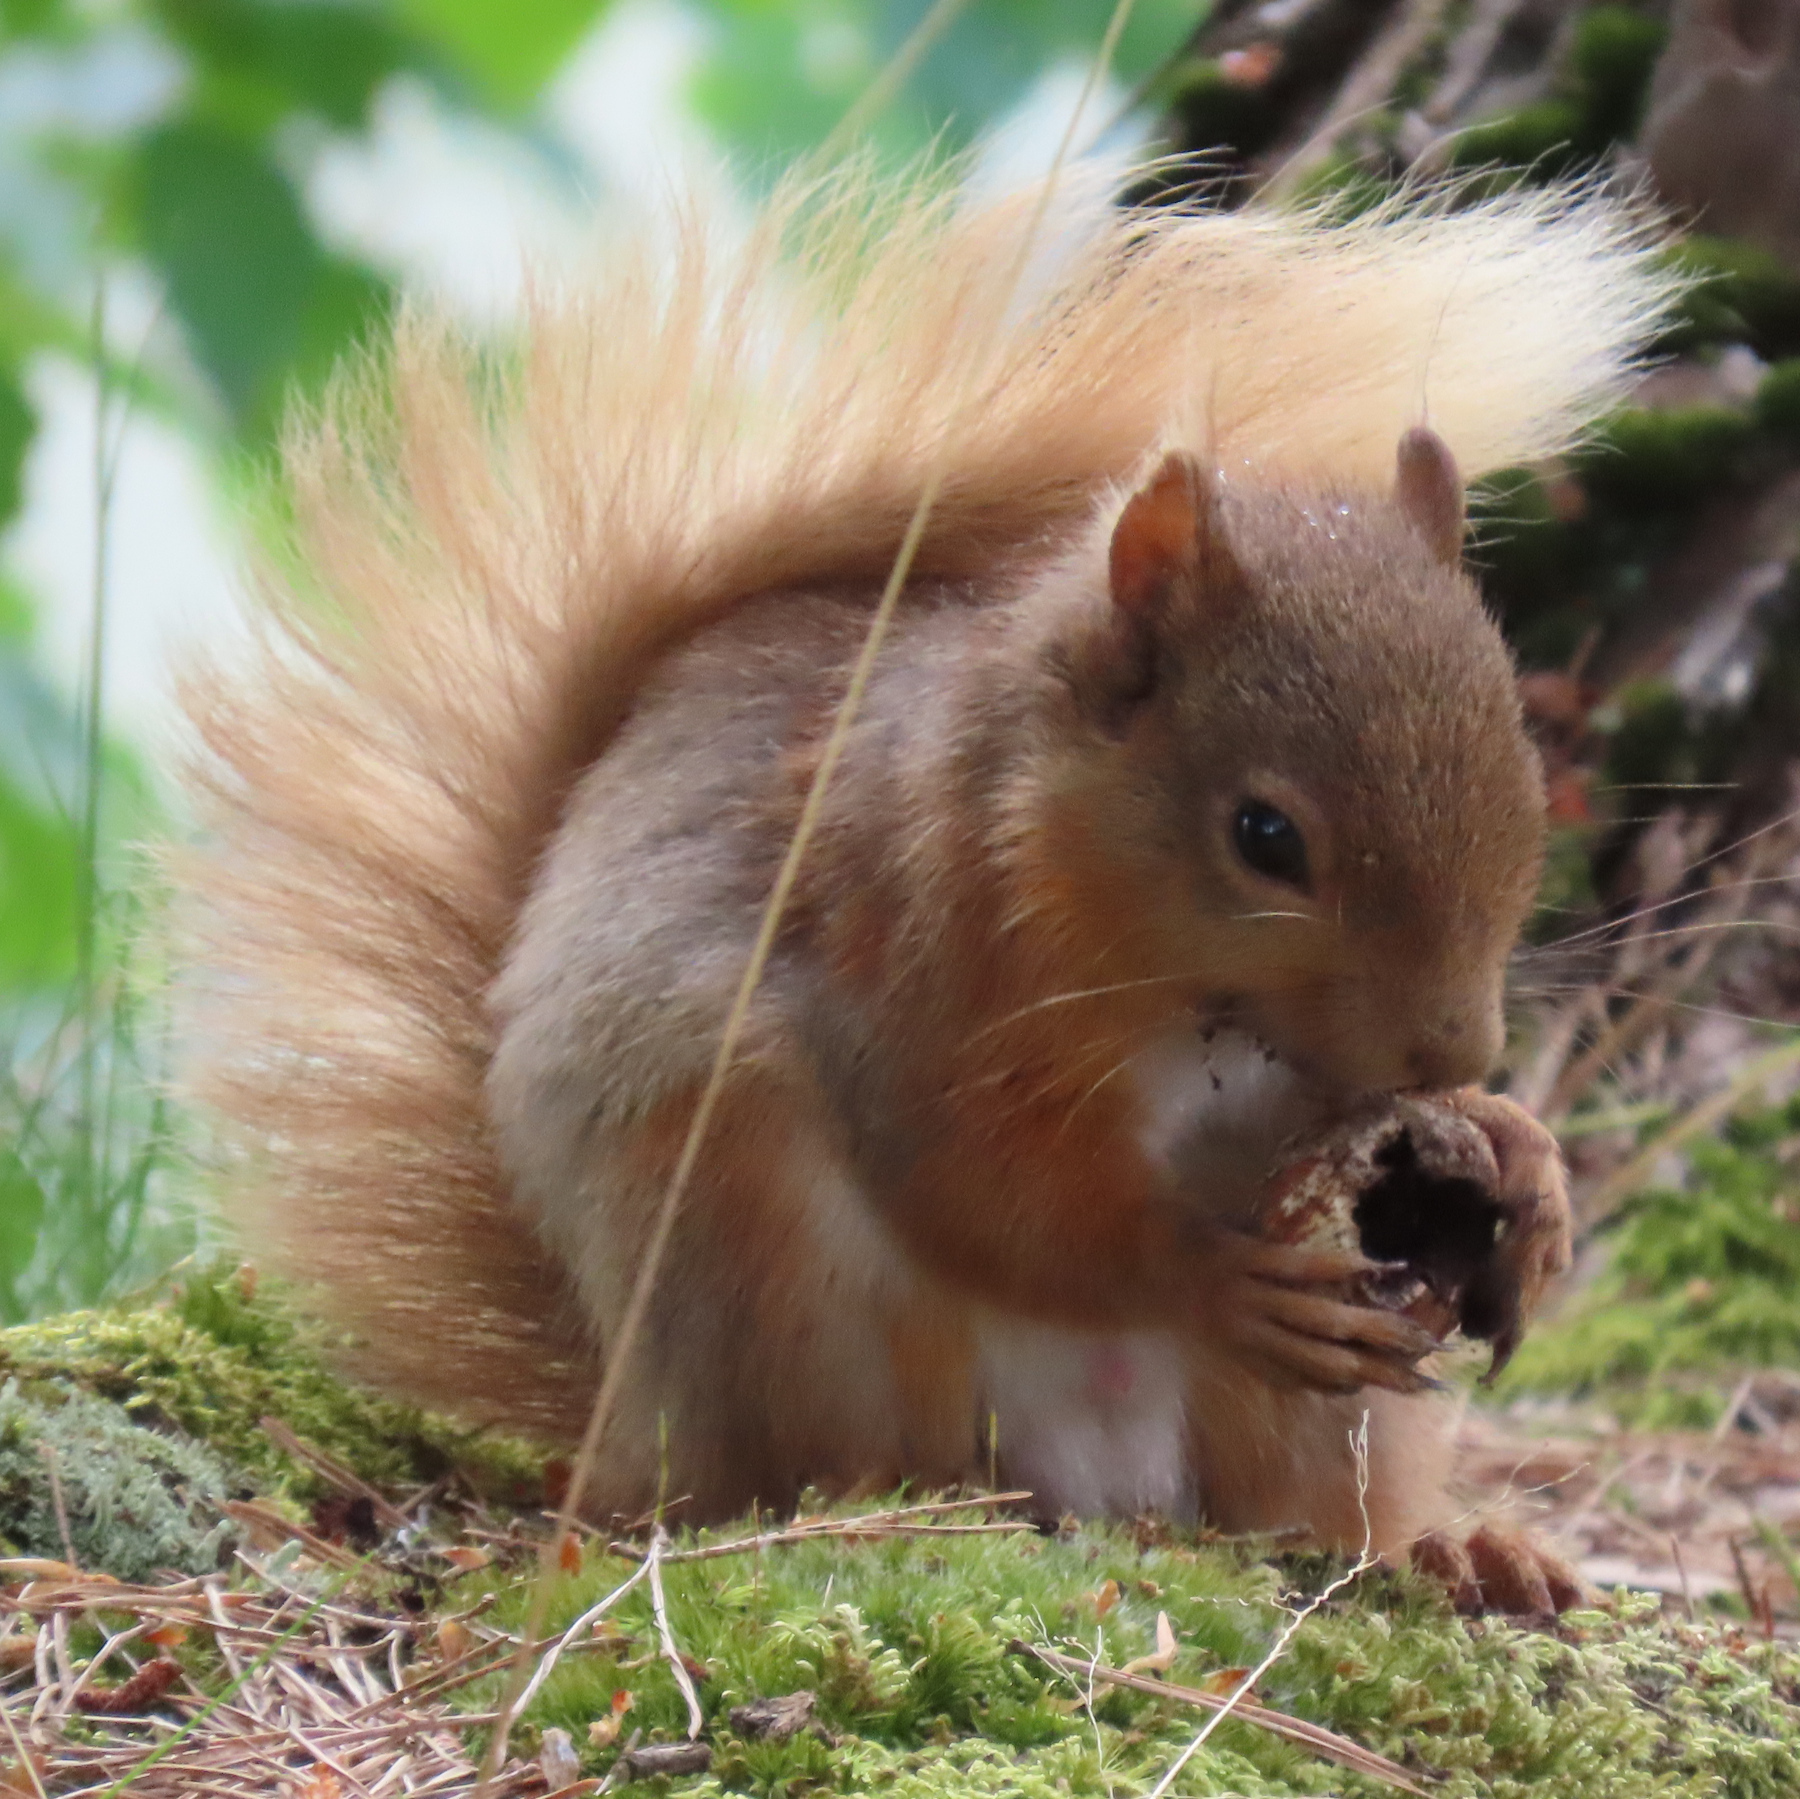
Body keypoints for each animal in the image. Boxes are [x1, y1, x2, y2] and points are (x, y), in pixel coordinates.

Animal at [180, 167, 1675, 1608]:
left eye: (1524, 770)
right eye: (1263, 834)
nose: (1453, 1047)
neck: (1165, 971)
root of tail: (630, 1421)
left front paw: (1519, 1154)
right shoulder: (898, 942)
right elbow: (981, 1183)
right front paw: (1208, 1271)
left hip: (1316, 1418)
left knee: (1310, 1514)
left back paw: (1456, 1549)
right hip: (768, 1247)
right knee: (813, 1462)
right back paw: (894, 1500)